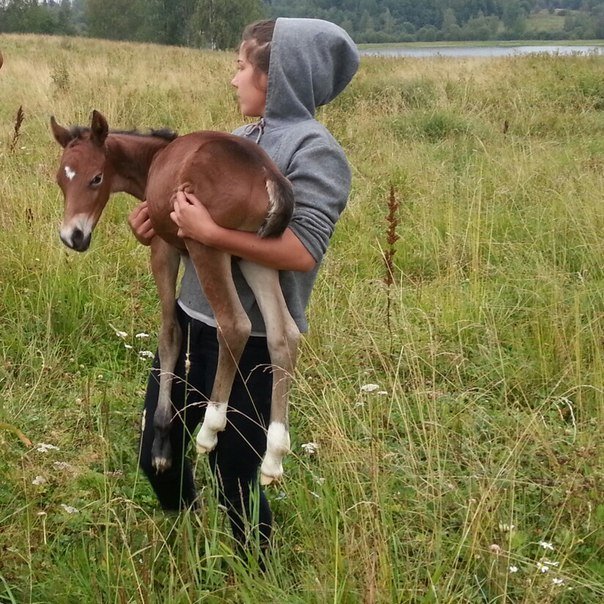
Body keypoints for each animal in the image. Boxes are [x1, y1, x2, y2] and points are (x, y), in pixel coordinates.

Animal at [52, 109, 300, 486]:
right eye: (60, 180)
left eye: (96, 178)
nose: (73, 237)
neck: (155, 161)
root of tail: (267, 173)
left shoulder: (163, 248)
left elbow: (169, 333)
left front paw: (161, 442)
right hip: (258, 257)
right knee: (283, 335)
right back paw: (274, 454)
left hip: (207, 246)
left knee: (235, 324)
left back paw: (211, 428)